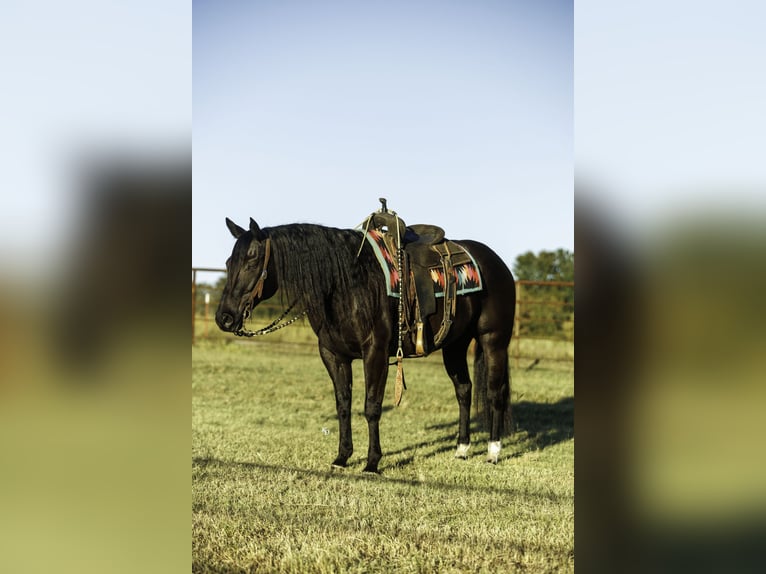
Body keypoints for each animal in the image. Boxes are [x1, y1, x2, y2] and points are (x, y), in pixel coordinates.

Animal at [215, 216, 516, 473]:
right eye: (229, 263)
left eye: (252, 262)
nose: (224, 318)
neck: (346, 285)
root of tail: (497, 263)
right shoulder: (333, 355)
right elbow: (343, 405)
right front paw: (342, 457)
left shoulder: (375, 353)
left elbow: (371, 407)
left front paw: (372, 463)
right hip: (455, 345)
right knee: (464, 390)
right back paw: (462, 449)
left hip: (493, 340)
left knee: (494, 393)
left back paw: (493, 452)